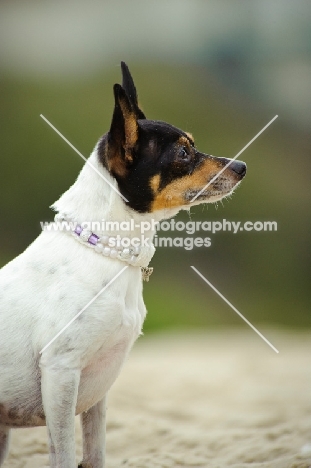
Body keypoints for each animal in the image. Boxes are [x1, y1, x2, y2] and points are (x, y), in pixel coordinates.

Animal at [0, 63, 246, 468]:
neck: (107, 253)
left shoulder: (97, 391)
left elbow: (95, 451)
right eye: (183, 152)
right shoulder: (61, 374)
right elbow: (64, 453)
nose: (242, 166)